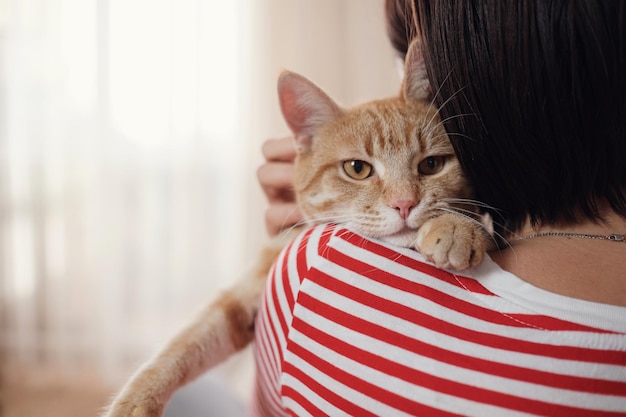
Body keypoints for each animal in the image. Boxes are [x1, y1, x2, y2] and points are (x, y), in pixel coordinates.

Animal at [103, 39, 492, 416]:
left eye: (431, 165)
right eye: (357, 169)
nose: (404, 203)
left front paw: (457, 227)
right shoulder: (260, 274)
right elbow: (188, 340)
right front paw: (135, 400)